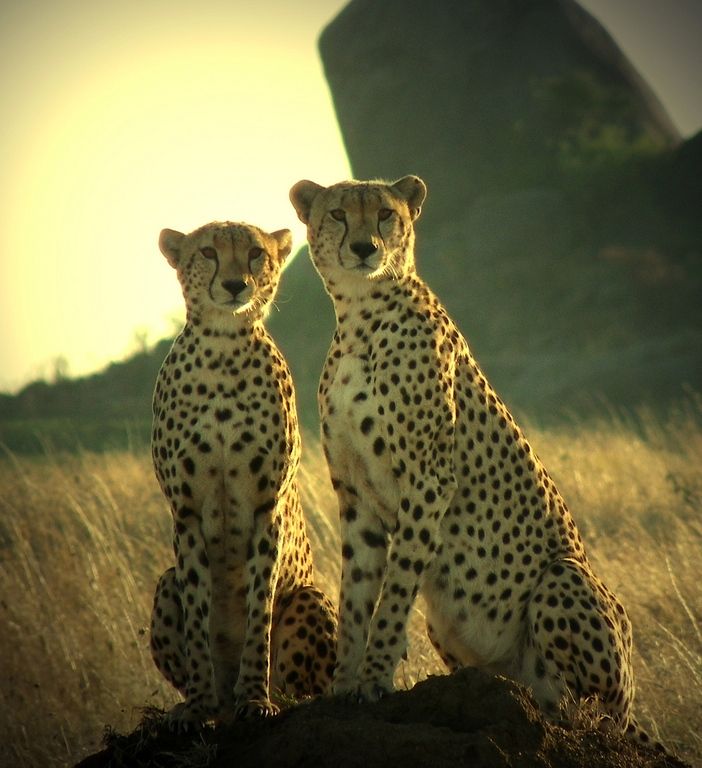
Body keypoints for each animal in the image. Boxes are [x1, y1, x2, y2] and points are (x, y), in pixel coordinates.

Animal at [150, 220, 336, 728]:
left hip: (310, 598)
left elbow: (259, 611)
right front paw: (197, 706)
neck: (223, 347)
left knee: (306, 685)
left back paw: (274, 697)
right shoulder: (187, 513)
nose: (236, 285)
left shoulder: (265, 509)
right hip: (164, 584)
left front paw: (255, 698)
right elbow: (198, 617)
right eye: (209, 253)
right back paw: (205, 701)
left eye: (256, 253)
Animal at [290, 177, 660, 748]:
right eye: (337, 214)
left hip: (564, 581)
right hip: (448, 627)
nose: (364, 248)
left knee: (589, 712)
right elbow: (355, 596)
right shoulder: (354, 497)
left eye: (385, 214)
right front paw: (343, 686)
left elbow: (394, 593)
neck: (358, 317)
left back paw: (561, 718)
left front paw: (373, 682)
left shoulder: (428, 482)